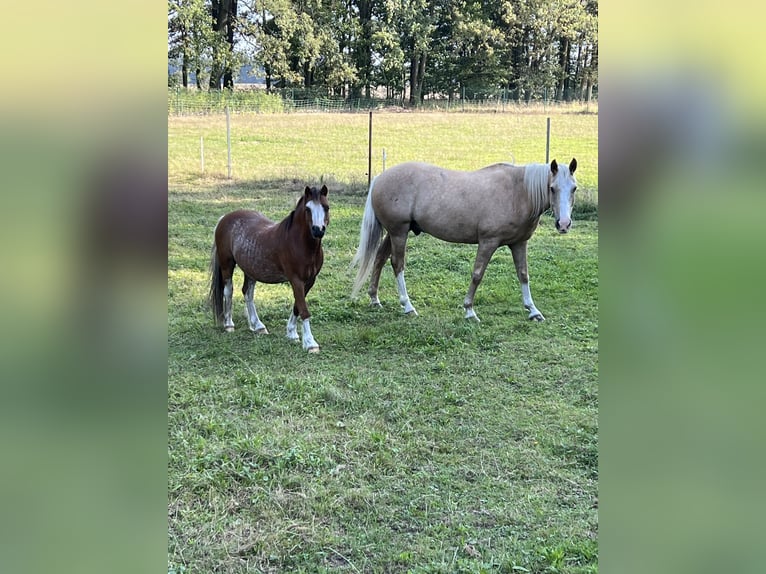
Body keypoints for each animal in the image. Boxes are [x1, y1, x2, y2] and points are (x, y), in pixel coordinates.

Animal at [210, 187, 330, 354]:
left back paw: (258, 326)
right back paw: (229, 324)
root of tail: (224, 218)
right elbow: (304, 309)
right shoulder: (296, 280)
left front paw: (292, 333)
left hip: (250, 269)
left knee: (247, 293)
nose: (318, 230)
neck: (299, 243)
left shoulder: (309, 281)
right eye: (308, 209)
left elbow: (297, 306)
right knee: (229, 291)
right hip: (227, 265)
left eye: (326, 207)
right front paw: (310, 343)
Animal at [352, 160, 580, 322]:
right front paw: (469, 310)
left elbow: (523, 274)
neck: (518, 192)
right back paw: (408, 306)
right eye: (552, 188)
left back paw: (374, 299)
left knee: (380, 259)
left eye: (574, 188)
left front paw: (533, 310)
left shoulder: (519, 243)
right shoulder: (488, 242)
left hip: (394, 233)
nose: (563, 224)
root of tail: (380, 178)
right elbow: (477, 274)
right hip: (399, 232)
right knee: (397, 264)